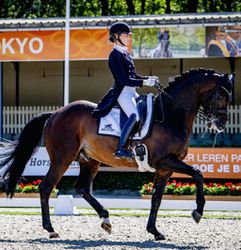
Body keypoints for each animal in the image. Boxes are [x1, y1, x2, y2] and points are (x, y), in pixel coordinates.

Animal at [0, 68, 233, 240]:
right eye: (222, 95)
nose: (221, 124)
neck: (170, 115)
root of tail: (56, 113)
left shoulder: (164, 168)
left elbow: (156, 198)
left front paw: (155, 231)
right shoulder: (166, 160)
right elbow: (198, 174)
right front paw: (197, 212)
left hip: (89, 161)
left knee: (82, 187)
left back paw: (105, 219)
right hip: (62, 158)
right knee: (46, 187)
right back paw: (51, 229)